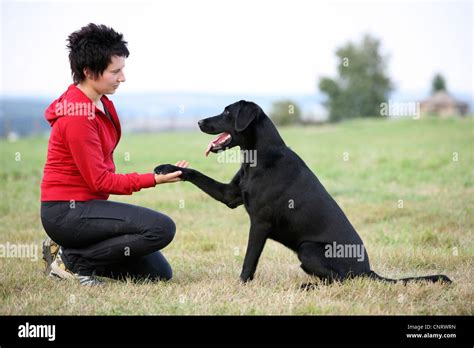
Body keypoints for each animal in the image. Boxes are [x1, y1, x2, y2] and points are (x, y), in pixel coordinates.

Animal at [156, 100, 452, 286]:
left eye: (228, 112)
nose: (198, 121)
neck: (258, 157)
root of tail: (368, 271)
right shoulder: (230, 195)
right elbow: (194, 172)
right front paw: (165, 168)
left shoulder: (259, 223)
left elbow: (249, 261)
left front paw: (240, 286)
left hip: (308, 249)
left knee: (340, 281)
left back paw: (308, 287)